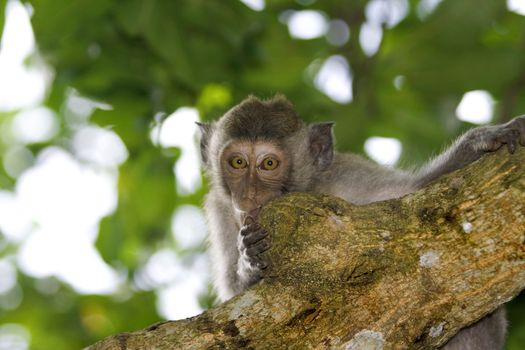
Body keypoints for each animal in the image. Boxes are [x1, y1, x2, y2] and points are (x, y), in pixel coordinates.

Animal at [198, 94, 524, 348]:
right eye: (238, 162)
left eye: (268, 164)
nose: (249, 195)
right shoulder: (220, 208)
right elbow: (235, 301)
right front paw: (249, 256)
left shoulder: (349, 175)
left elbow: (415, 201)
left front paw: (481, 141)